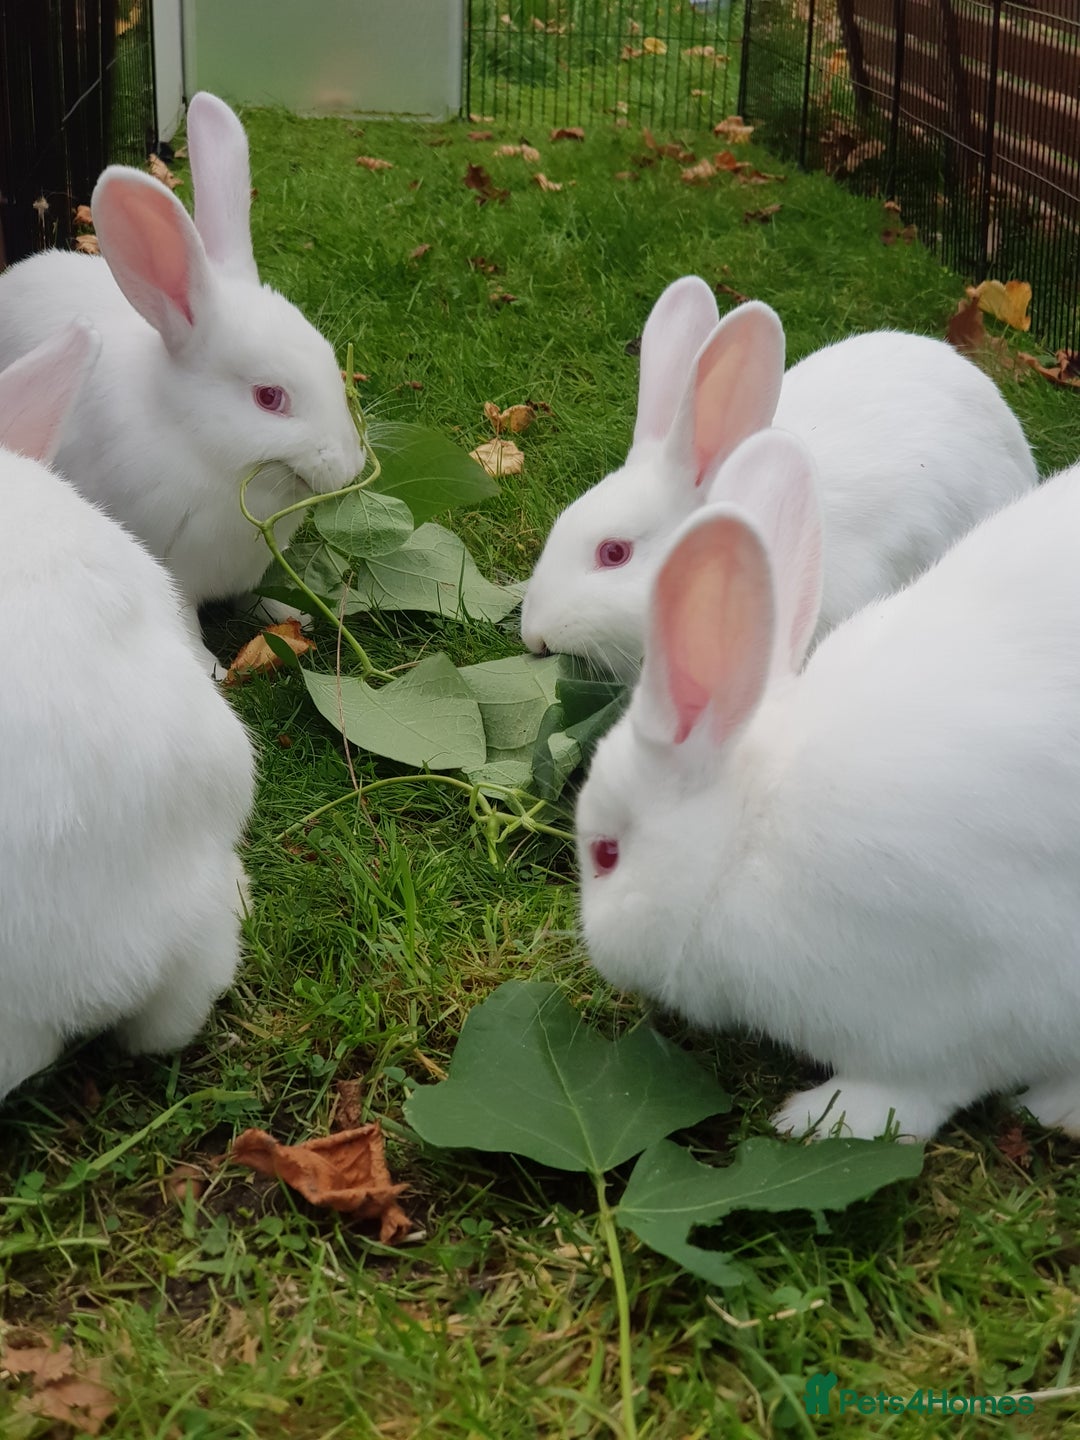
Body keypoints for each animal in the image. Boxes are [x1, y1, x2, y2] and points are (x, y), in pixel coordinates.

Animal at [0, 91, 363, 676]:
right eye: (268, 398)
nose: (351, 468)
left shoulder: (254, 562)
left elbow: (254, 595)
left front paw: (288, 614)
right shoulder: (170, 565)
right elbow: (185, 620)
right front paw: (209, 668)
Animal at [575, 427, 1080, 1142]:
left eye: (606, 855)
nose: (597, 950)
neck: (746, 843)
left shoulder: (974, 1002)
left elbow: (918, 1090)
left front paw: (819, 1119)